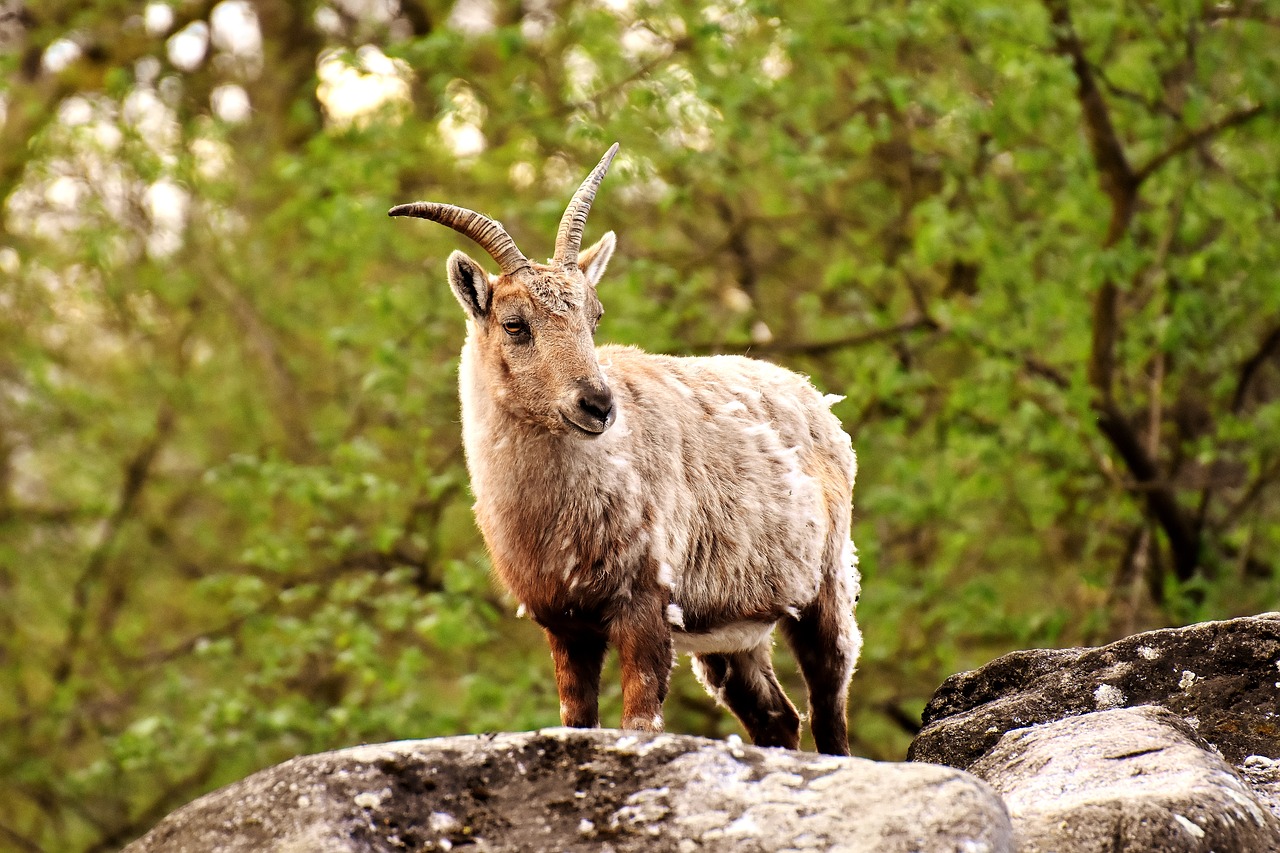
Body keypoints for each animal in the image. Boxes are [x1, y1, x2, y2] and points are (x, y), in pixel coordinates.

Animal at [389, 144, 860, 753]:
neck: (554, 511)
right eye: (516, 325)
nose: (597, 404)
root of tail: (817, 400)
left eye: (594, 317)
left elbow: (640, 721)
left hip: (825, 587)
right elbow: (577, 719)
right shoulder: (564, 622)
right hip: (730, 635)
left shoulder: (645, 601)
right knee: (776, 716)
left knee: (829, 703)